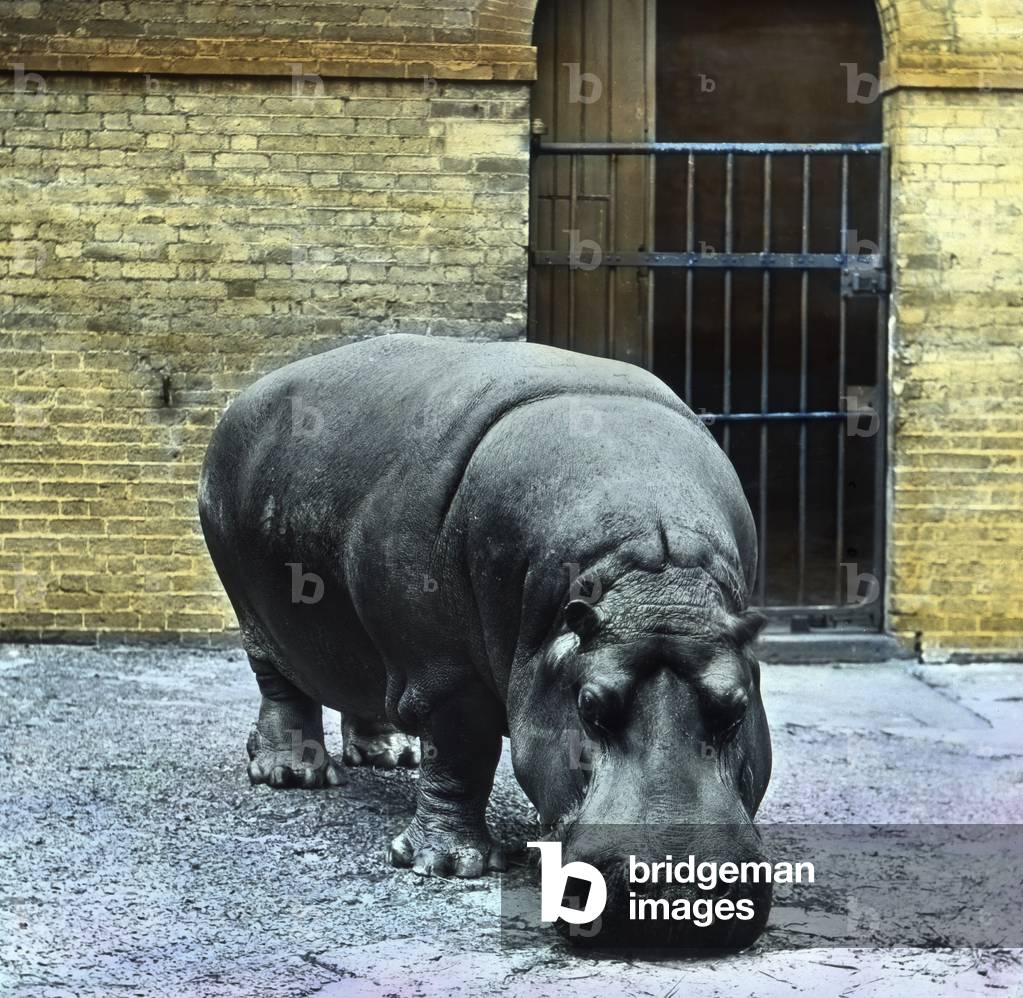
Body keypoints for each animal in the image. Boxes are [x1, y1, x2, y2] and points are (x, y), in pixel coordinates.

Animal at [198, 333, 772, 949]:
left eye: (736, 708)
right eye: (589, 706)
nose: (676, 890)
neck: (649, 572)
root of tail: (245, 396)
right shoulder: (447, 677)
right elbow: (461, 752)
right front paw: (449, 866)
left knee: (363, 683)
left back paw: (389, 756)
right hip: (254, 611)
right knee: (281, 687)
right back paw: (293, 775)